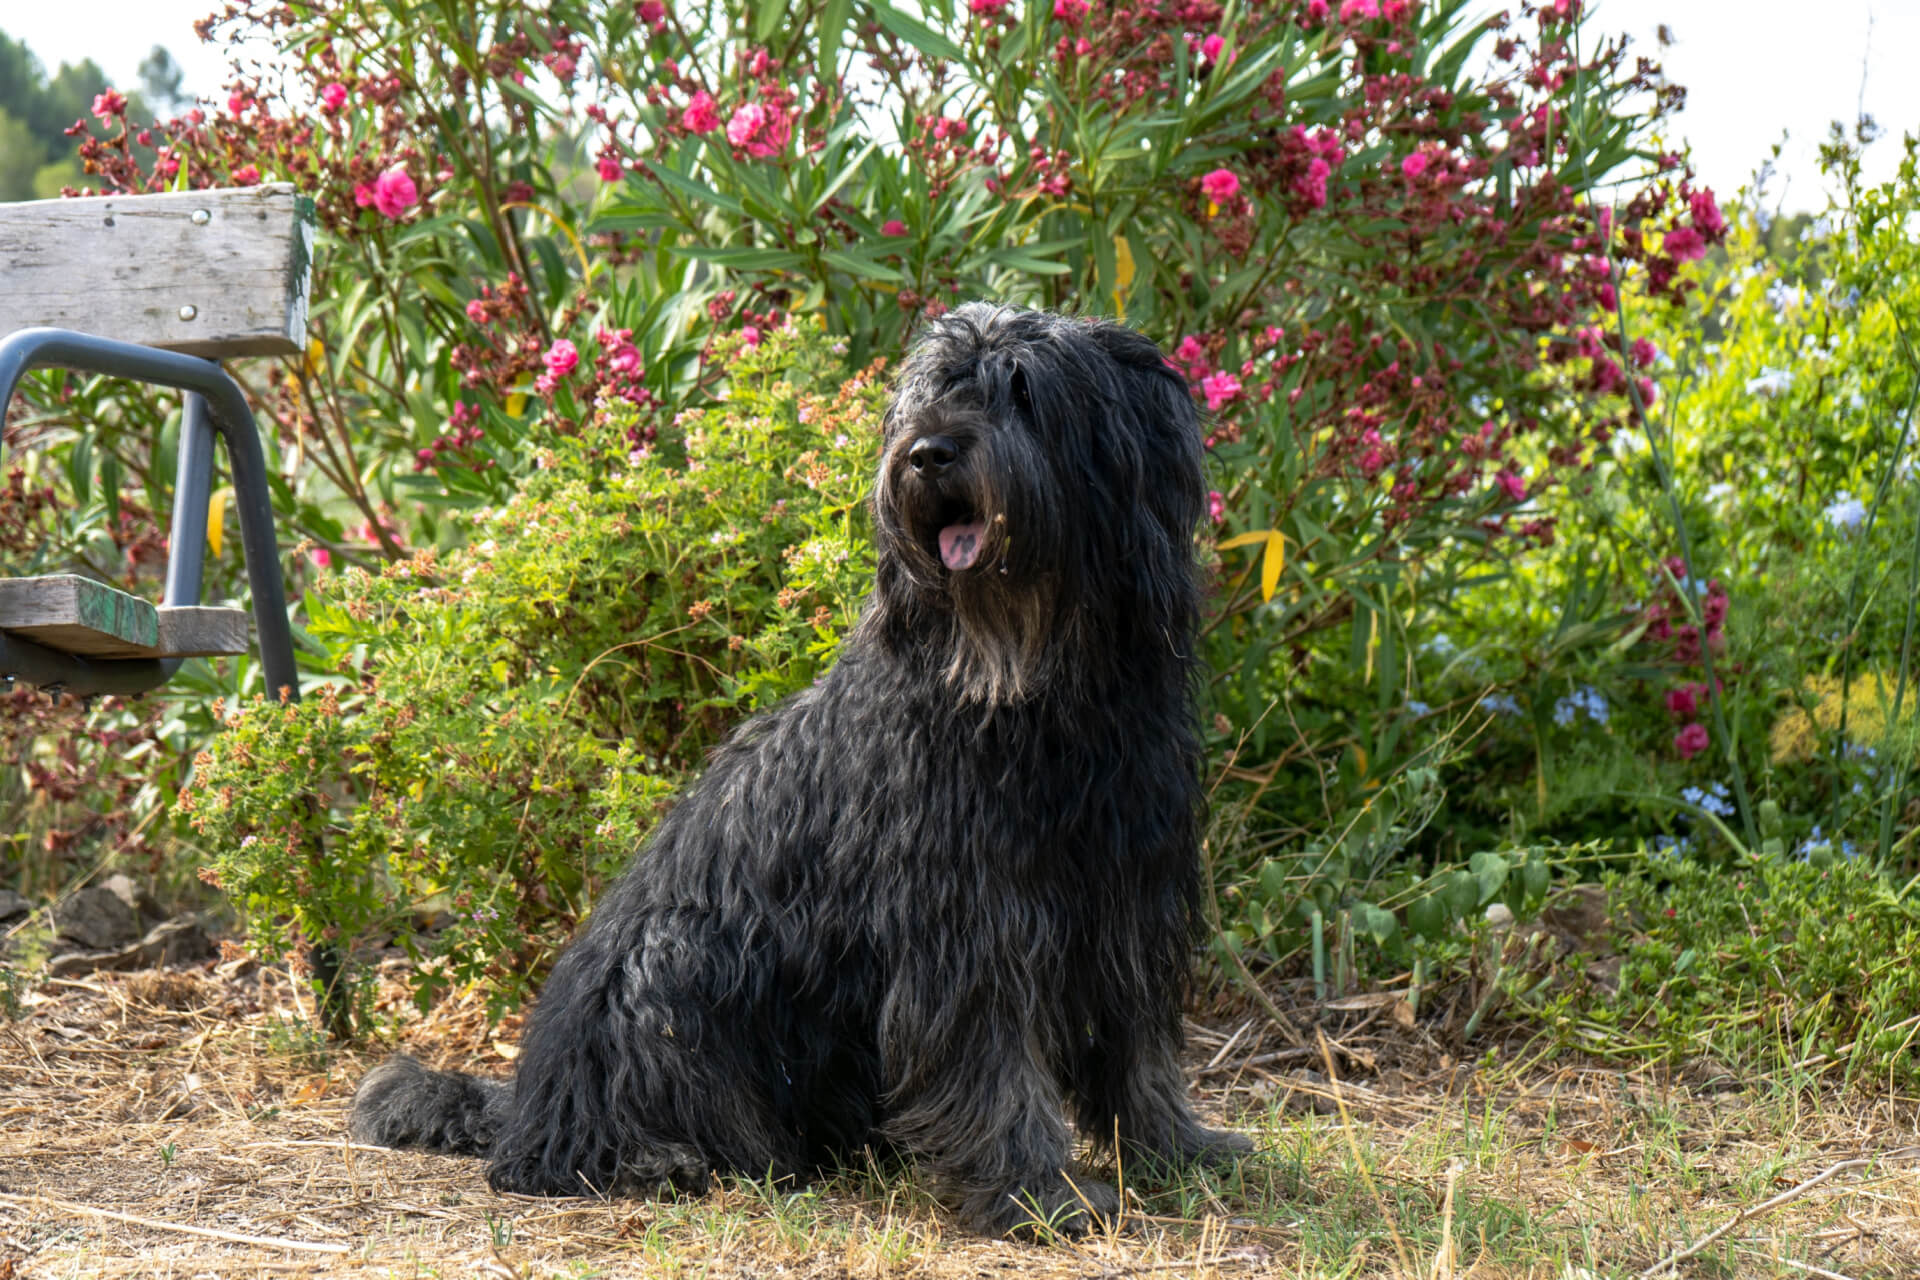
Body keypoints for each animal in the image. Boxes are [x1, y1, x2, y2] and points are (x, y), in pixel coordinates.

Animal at [351, 305, 1251, 1235]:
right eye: (933, 392)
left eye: (1024, 392)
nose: (927, 455)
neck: (1030, 686)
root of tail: (531, 1097)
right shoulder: (963, 925)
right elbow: (994, 1067)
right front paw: (1036, 1191)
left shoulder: (1126, 895)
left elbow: (1138, 1050)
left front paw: (1180, 1148)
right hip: (678, 955)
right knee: (577, 1139)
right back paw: (657, 1156)